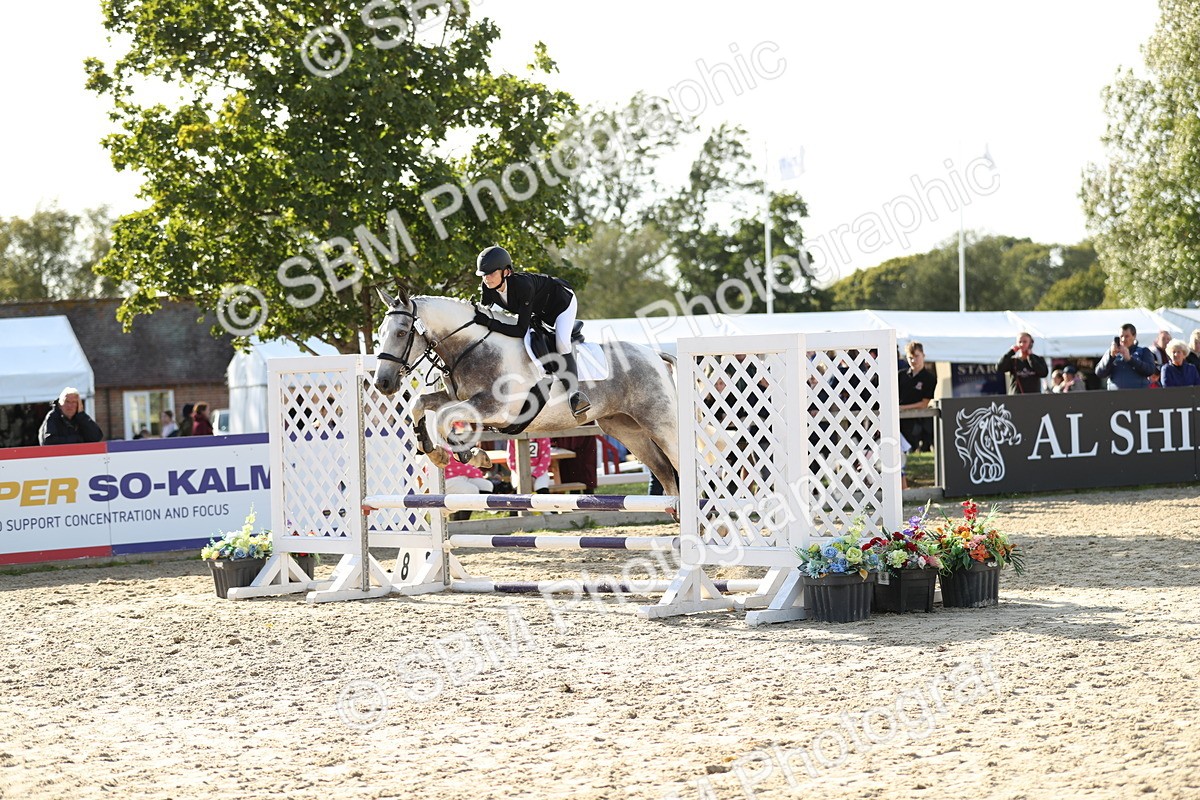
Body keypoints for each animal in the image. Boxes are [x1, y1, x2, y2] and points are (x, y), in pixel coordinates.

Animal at [371, 287, 682, 498]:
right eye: (380, 332)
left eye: (401, 333)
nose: (382, 383)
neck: (473, 346)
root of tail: (654, 354)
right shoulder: (460, 399)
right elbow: (420, 404)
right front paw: (436, 452)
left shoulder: (494, 408)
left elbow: (445, 418)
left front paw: (471, 456)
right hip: (625, 429)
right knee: (667, 475)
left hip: (661, 423)